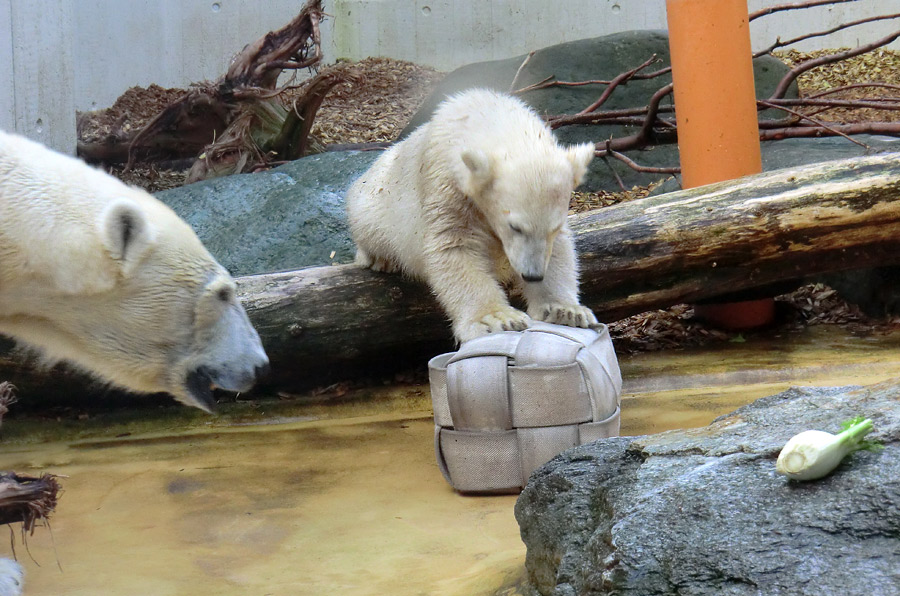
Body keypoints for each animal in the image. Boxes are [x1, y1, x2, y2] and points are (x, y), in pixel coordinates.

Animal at [350, 87, 596, 340]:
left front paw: (565, 310)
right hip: (373, 204)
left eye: (554, 227)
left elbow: (559, 249)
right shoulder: (447, 185)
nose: (533, 274)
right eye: (514, 226)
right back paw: (383, 259)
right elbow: (455, 247)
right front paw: (497, 318)